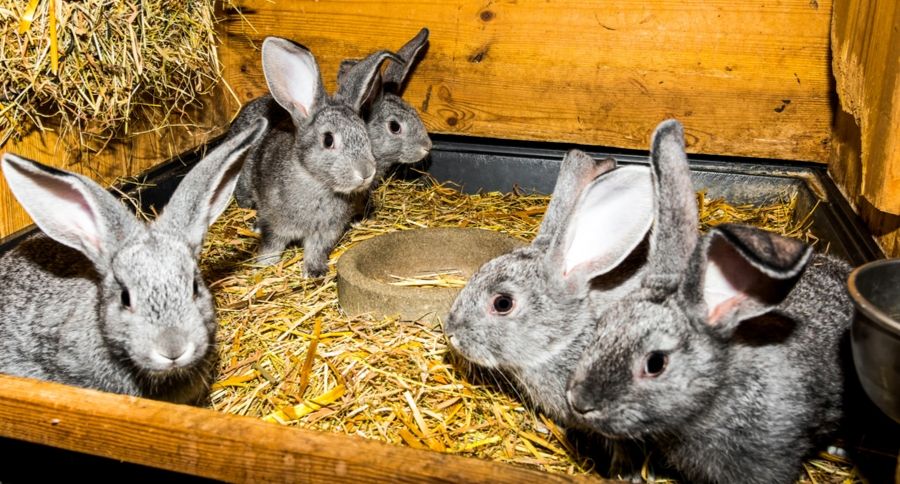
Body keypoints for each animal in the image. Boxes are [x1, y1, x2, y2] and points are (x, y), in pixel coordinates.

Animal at [231, 37, 399, 274]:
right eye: (328, 140)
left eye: (365, 134)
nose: (366, 172)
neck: (318, 183)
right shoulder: (276, 226)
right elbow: (271, 246)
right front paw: (264, 266)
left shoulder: (325, 233)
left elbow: (316, 250)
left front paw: (315, 271)